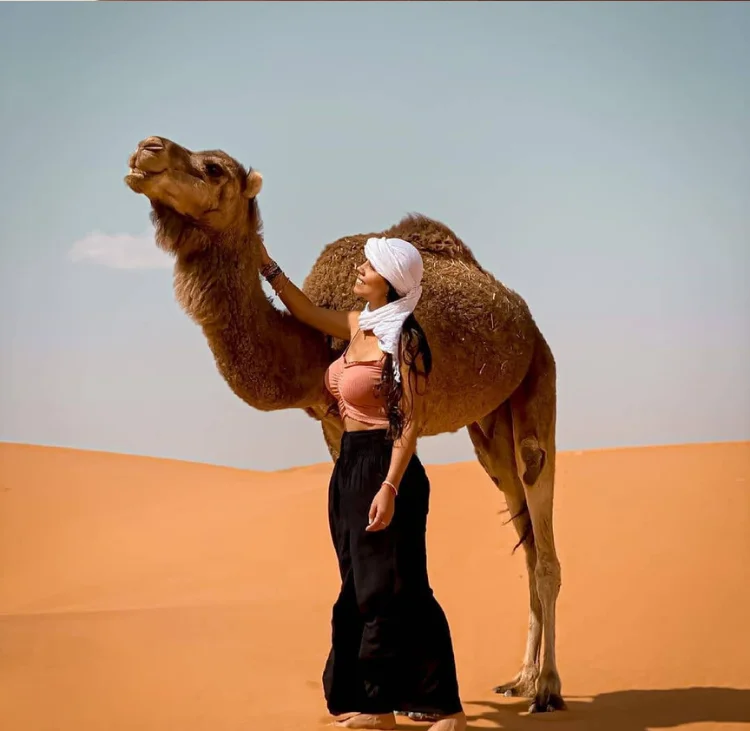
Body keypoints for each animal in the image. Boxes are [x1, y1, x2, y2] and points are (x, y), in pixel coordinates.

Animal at [124, 136, 564, 714]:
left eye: (213, 168)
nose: (146, 149)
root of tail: (526, 320)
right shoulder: (332, 426)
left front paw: (403, 699)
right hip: (490, 427)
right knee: (526, 534)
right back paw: (521, 678)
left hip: (538, 380)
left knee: (543, 530)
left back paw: (548, 688)